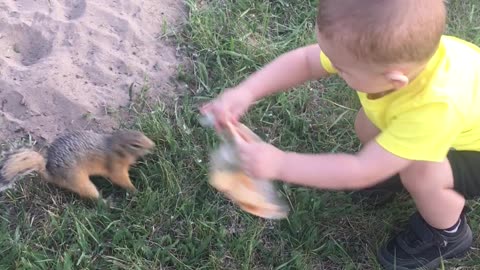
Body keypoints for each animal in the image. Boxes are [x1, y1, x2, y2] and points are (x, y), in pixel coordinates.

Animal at [0, 130, 155, 199]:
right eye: (135, 145)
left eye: (142, 134)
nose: (153, 145)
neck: (113, 147)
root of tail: (49, 173)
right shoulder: (114, 166)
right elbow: (120, 179)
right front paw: (135, 190)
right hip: (78, 180)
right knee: (92, 195)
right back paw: (107, 203)